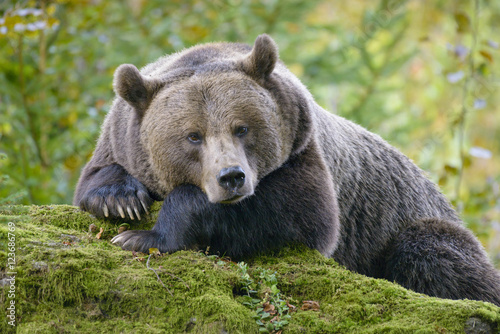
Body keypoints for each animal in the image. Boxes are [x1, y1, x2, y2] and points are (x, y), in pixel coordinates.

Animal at [75, 35, 500, 306]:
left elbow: (300, 215)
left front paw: (143, 236)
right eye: (193, 136)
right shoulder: (119, 137)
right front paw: (121, 201)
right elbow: (95, 179)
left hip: (411, 221)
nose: (231, 177)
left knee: (432, 251)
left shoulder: (302, 149)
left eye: (242, 127)